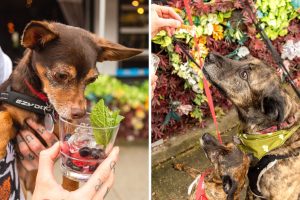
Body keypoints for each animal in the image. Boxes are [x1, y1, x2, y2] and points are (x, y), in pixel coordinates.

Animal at [0, 20, 142, 194]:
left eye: (92, 80)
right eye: (61, 75)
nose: (80, 113)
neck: (42, 104)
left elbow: (70, 177)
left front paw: (69, 190)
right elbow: (6, 116)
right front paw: (0, 144)